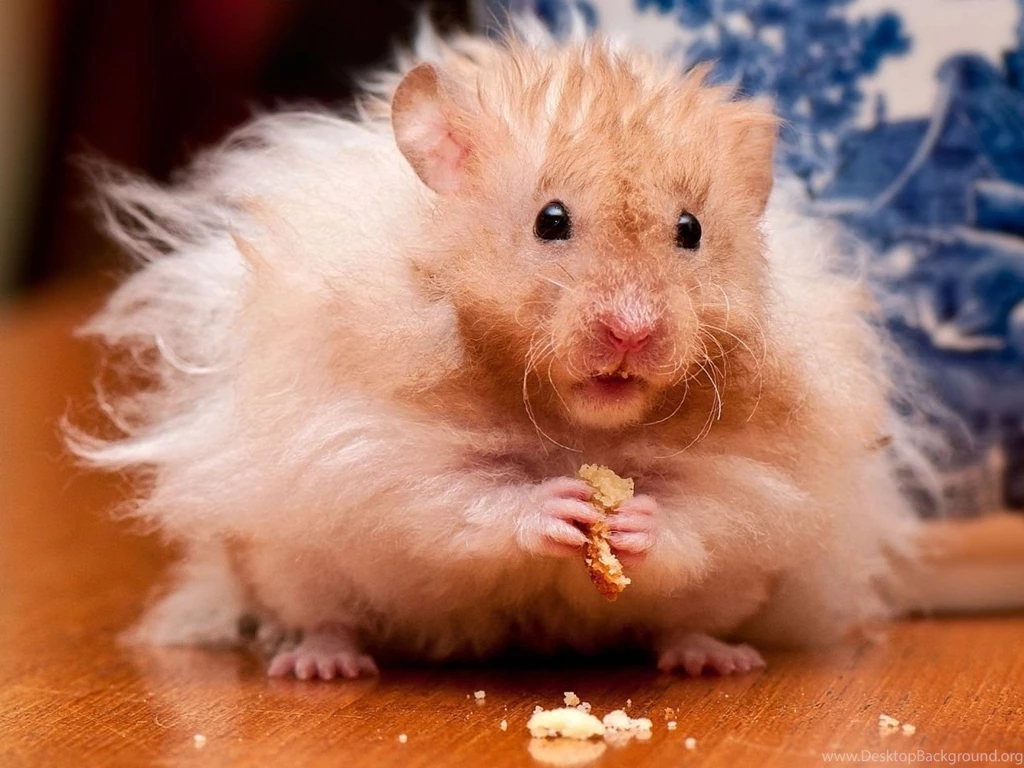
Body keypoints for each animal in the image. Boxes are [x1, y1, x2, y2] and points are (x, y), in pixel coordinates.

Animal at [69, 18, 925, 680]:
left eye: (691, 230)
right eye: (551, 220)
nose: (633, 333)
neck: (575, 423)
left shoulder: (762, 481)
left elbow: (701, 512)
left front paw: (634, 521)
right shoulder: (370, 450)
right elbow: (459, 498)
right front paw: (559, 506)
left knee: (686, 620)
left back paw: (716, 658)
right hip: (288, 559)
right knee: (325, 613)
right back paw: (320, 664)